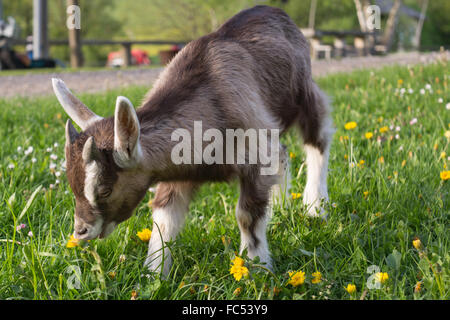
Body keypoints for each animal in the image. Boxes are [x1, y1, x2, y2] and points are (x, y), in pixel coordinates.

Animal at [53, 4, 334, 276]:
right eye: (72, 184)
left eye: (105, 190)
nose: (81, 232)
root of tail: (276, 12)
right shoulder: (176, 171)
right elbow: (164, 218)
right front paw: (153, 275)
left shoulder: (255, 153)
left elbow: (247, 215)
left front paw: (257, 268)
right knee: (283, 153)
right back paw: (283, 206)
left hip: (304, 94)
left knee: (318, 137)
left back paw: (315, 206)